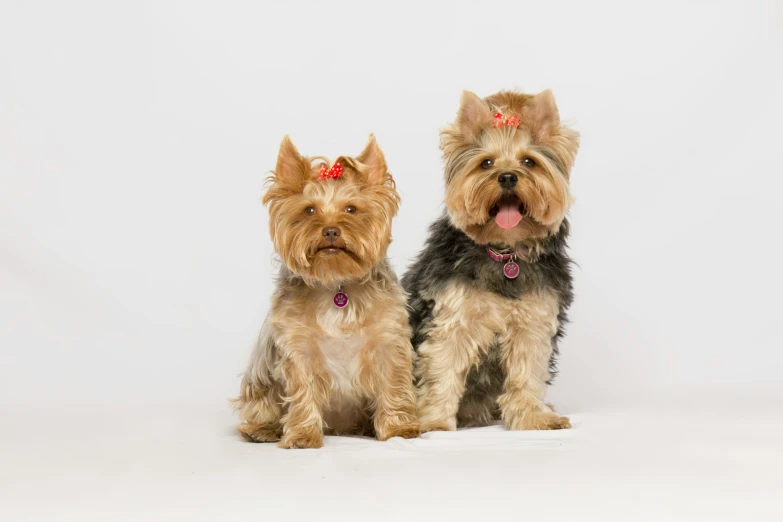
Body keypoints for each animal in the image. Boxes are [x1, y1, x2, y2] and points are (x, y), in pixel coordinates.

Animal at [234, 134, 422, 446]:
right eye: (309, 210)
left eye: (351, 209)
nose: (331, 230)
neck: (335, 282)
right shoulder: (298, 349)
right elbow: (302, 390)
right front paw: (303, 435)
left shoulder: (388, 341)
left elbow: (393, 383)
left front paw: (398, 429)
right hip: (260, 374)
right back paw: (262, 429)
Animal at [408, 89, 580, 430]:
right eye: (486, 162)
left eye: (529, 161)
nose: (508, 176)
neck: (504, 254)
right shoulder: (452, 319)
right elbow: (441, 370)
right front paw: (433, 421)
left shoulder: (533, 323)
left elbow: (527, 371)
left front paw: (533, 416)